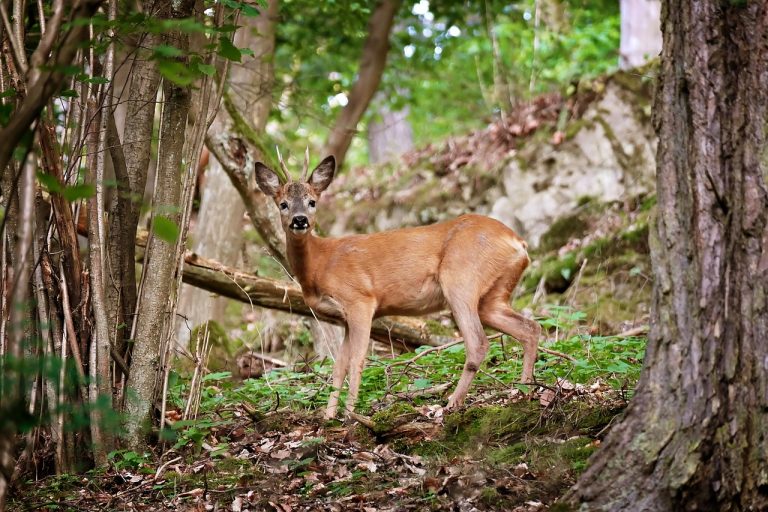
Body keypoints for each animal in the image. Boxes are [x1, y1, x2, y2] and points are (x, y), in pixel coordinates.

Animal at [254, 154, 540, 418]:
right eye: (283, 204)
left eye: (312, 202)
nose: (300, 220)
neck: (319, 264)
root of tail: (518, 243)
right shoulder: (344, 318)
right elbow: (339, 365)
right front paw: (328, 417)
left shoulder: (360, 300)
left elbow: (357, 360)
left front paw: (350, 415)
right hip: (493, 295)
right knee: (530, 328)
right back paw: (524, 392)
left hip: (461, 279)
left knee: (478, 342)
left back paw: (450, 404)